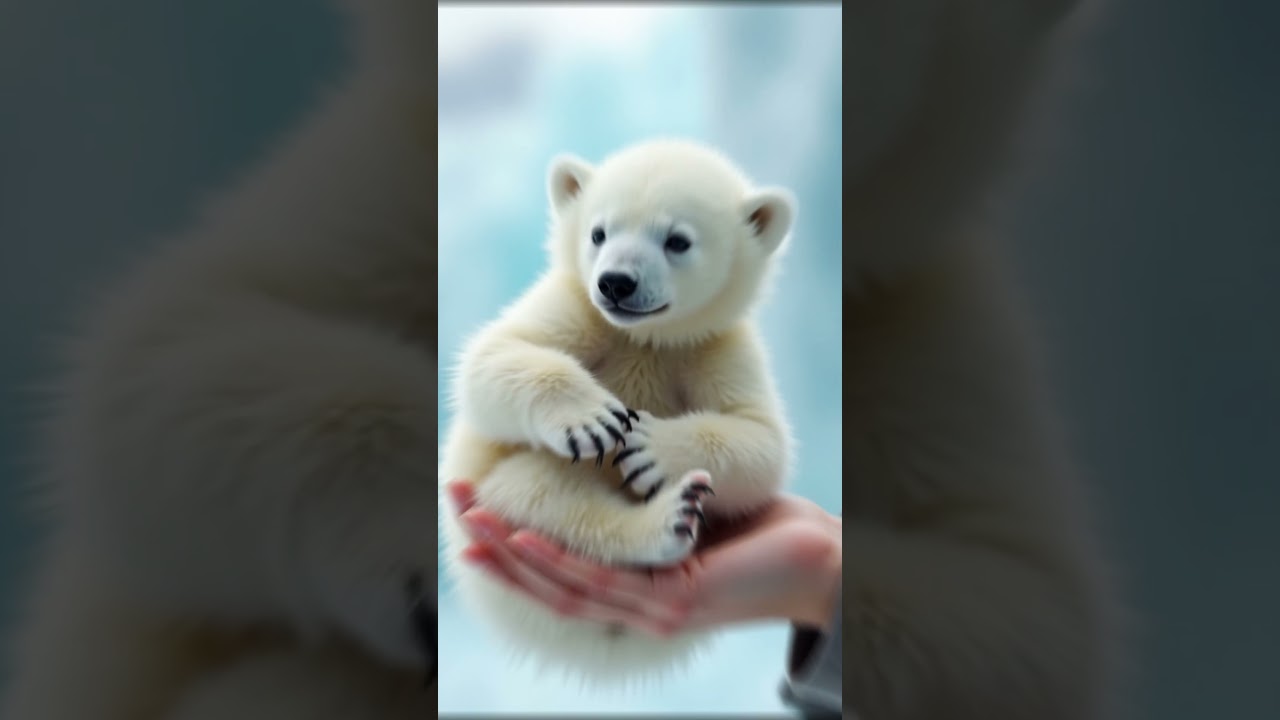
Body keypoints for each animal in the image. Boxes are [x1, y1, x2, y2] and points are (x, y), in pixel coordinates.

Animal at [437, 138, 797, 684]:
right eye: (598, 232)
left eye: (677, 240)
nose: (616, 283)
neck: (646, 337)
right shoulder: (578, 307)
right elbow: (494, 358)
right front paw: (593, 420)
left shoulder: (713, 343)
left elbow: (761, 441)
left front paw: (650, 448)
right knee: (542, 495)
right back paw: (667, 520)